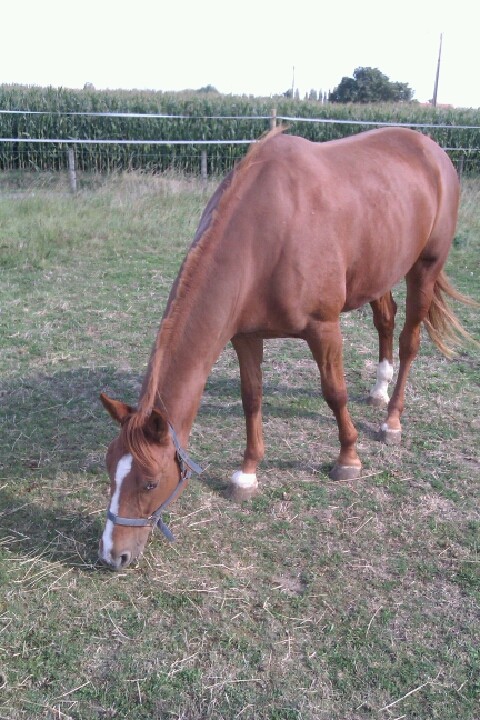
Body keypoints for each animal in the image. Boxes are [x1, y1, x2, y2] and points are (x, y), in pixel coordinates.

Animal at [97, 128, 472, 568]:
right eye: (110, 469)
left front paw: (348, 459)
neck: (264, 235)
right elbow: (251, 398)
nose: (113, 554)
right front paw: (246, 474)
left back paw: (392, 421)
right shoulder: (245, 336)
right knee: (386, 320)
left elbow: (334, 393)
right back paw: (379, 390)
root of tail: (431, 148)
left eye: (150, 483)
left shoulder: (323, 329)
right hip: (381, 269)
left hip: (425, 267)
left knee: (409, 340)